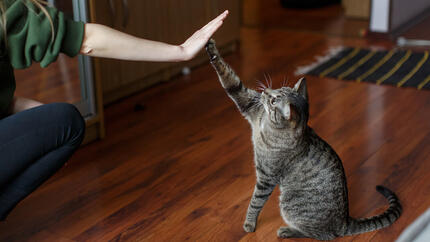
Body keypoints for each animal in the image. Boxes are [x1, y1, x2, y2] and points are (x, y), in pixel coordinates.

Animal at [205, 38, 404, 241]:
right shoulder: (248, 102)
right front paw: (210, 46)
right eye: (277, 89)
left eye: (274, 100)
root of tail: (345, 222)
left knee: (321, 235)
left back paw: (287, 231)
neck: (267, 125)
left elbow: (255, 202)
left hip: (290, 204)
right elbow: (229, 77)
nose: (265, 91)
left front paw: (249, 223)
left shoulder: (266, 177)